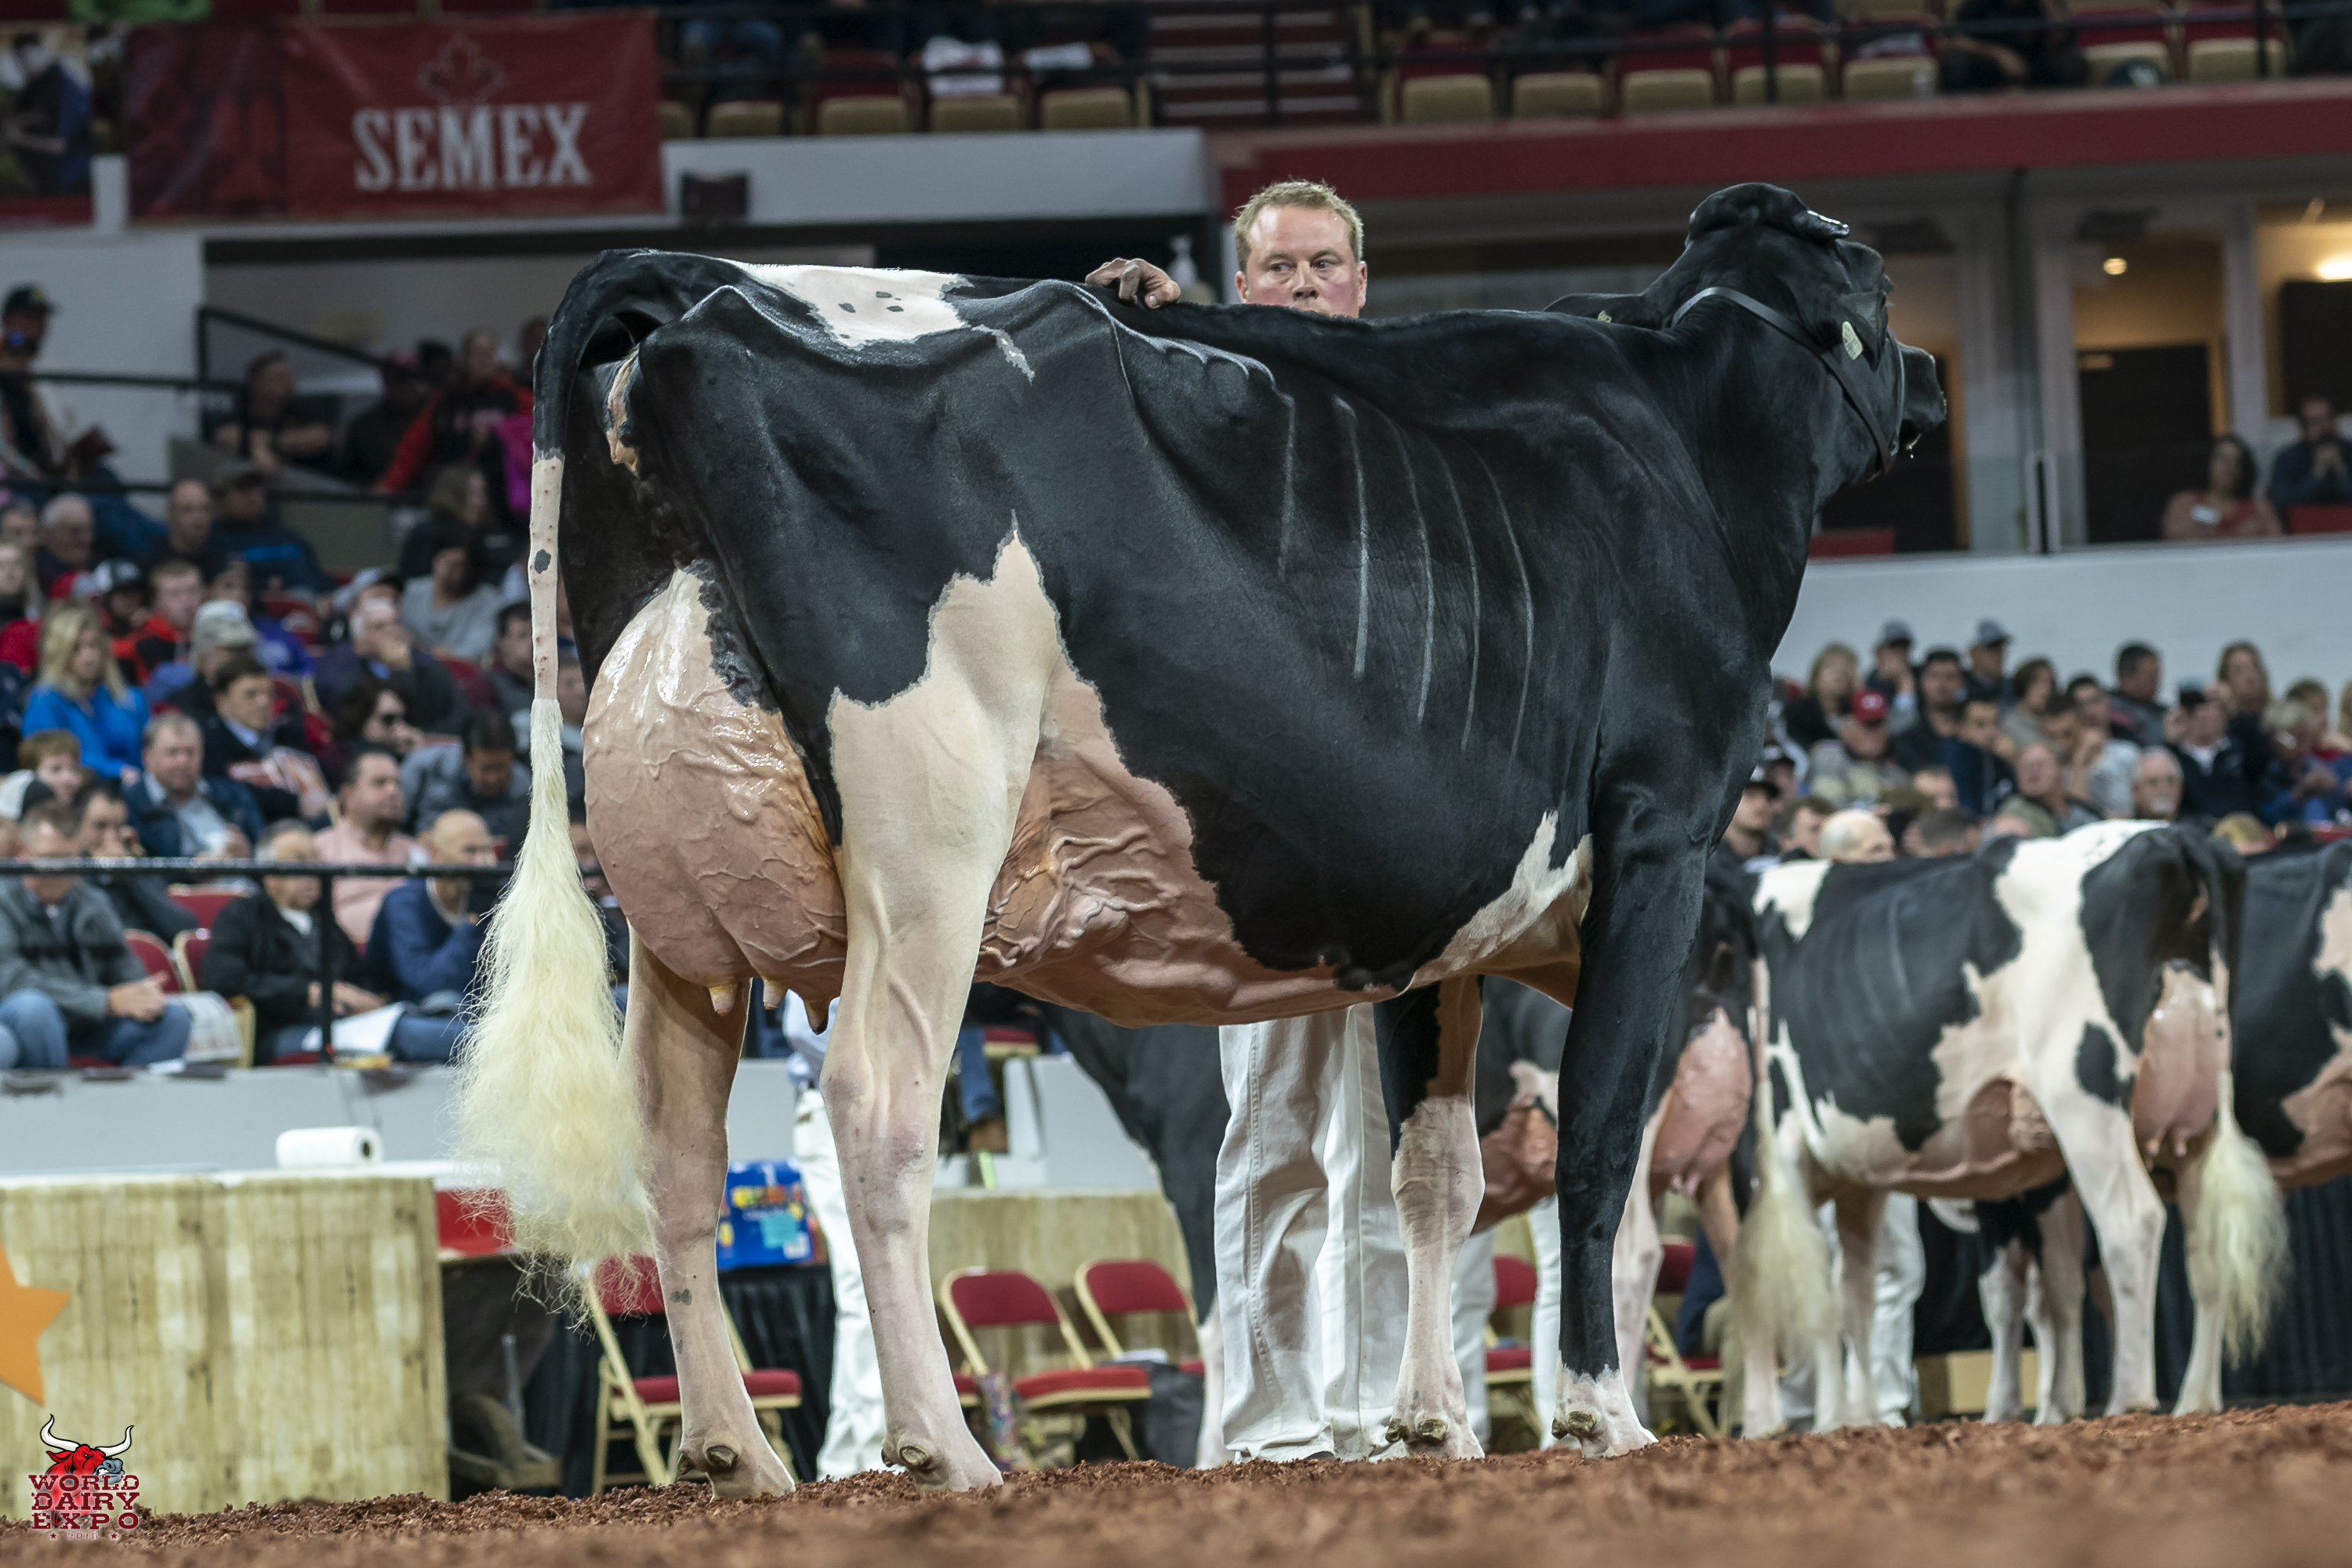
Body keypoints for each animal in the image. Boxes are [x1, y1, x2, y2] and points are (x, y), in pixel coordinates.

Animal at [451, 180, 1944, 1494]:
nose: (1933, 371)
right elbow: (1596, 1148)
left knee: (673, 1147)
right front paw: (1598, 1416)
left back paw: (734, 1452)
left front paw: (1431, 1425)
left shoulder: (1449, 924)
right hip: (928, 827)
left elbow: (1433, 1181)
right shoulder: (1655, 841)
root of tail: (705, 284)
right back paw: (948, 1449)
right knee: (882, 1105)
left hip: (679, 907)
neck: (1689, 438)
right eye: (1874, 281)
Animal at [1734, 823, 2287, 1433]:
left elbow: (1794, 1288)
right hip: (2195, 1120)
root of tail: (2171, 836)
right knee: (2205, 1248)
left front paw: (1815, 1418)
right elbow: (1857, 1291)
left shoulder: (1778, 1154)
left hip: (2083, 1096)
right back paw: (2196, 1398)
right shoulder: (1867, 1179)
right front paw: (1858, 1417)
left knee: (2131, 1222)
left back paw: (2130, 1396)